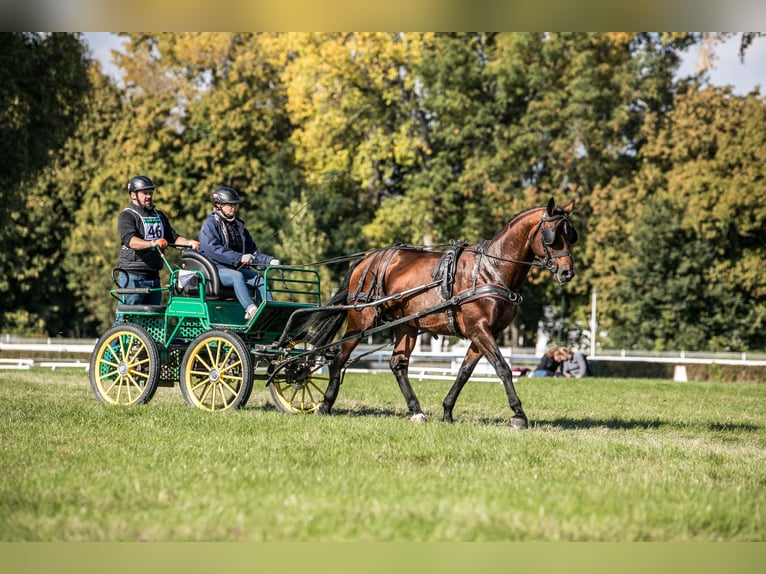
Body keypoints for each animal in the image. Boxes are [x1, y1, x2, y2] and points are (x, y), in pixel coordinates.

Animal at [302, 198, 578, 429]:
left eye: (571, 235)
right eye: (552, 236)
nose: (567, 272)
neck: (491, 269)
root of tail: (367, 259)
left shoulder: (482, 334)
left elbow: (464, 372)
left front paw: (447, 410)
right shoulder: (480, 329)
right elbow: (502, 367)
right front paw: (519, 414)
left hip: (407, 325)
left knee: (398, 365)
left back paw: (416, 410)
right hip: (362, 320)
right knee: (339, 357)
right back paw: (326, 404)